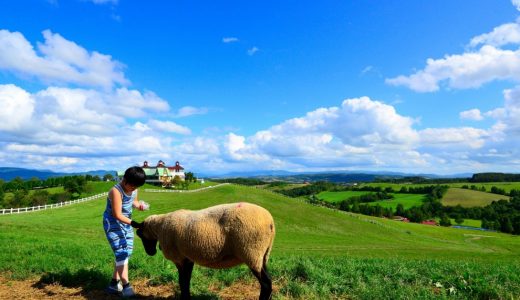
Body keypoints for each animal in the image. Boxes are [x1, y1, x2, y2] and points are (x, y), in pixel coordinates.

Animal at [132, 202, 274, 300]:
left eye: (140, 234)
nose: (151, 252)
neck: (160, 227)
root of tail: (271, 222)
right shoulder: (187, 258)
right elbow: (186, 281)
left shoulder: (179, 258)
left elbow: (182, 281)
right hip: (263, 254)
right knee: (268, 280)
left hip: (251, 251)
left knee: (266, 284)